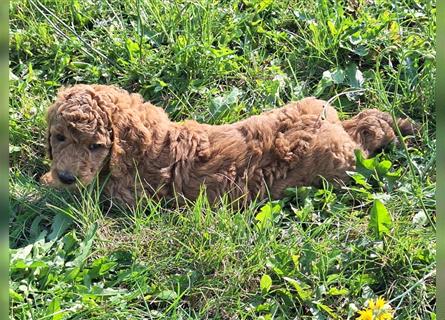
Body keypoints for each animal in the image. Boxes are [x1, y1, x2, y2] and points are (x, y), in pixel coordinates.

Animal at [40, 85, 414, 205]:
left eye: (95, 146)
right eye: (59, 138)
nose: (66, 176)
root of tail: (323, 122)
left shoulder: (126, 196)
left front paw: (49, 186)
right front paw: (51, 179)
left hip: (340, 164)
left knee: (365, 139)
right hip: (317, 115)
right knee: (364, 123)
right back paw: (394, 121)